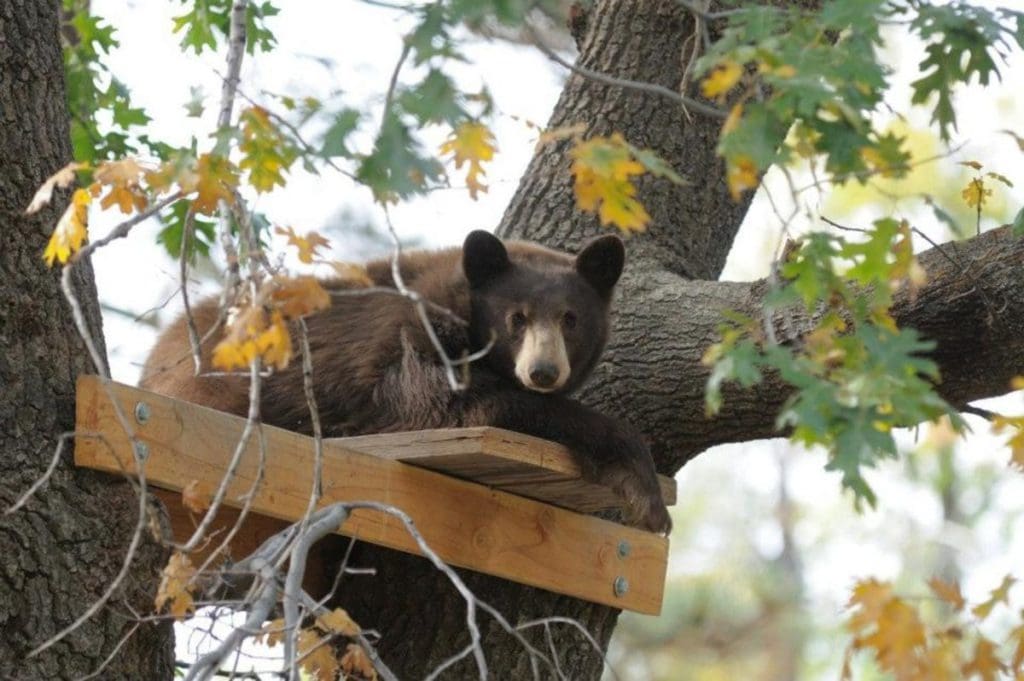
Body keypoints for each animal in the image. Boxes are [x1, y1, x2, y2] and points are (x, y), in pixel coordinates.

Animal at [142, 231, 671, 532]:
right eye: (516, 318)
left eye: (570, 318)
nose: (542, 371)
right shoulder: (410, 345)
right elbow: (456, 403)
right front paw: (647, 497)